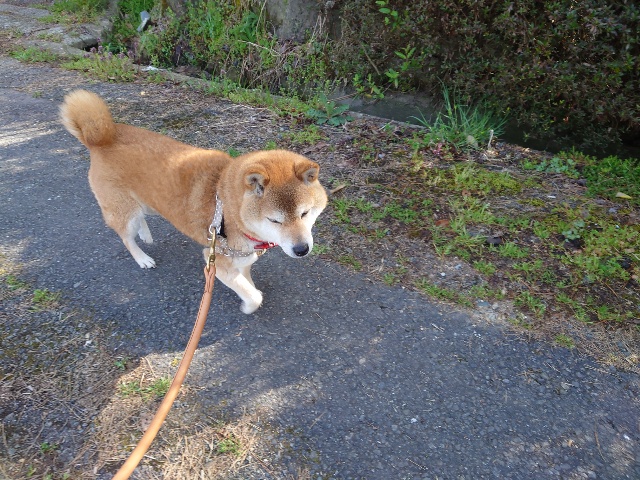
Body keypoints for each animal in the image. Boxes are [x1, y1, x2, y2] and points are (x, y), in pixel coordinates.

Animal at [59, 89, 327, 313]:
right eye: (275, 220)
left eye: (305, 214)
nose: (302, 250)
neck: (227, 207)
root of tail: (101, 140)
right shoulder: (216, 261)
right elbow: (253, 295)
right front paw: (248, 305)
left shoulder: (242, 257)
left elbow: (248, 278)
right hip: (124, 212)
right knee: (126, 237)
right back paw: (142, 258)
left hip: (146, 202)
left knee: (142, 218)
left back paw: (145, 234)